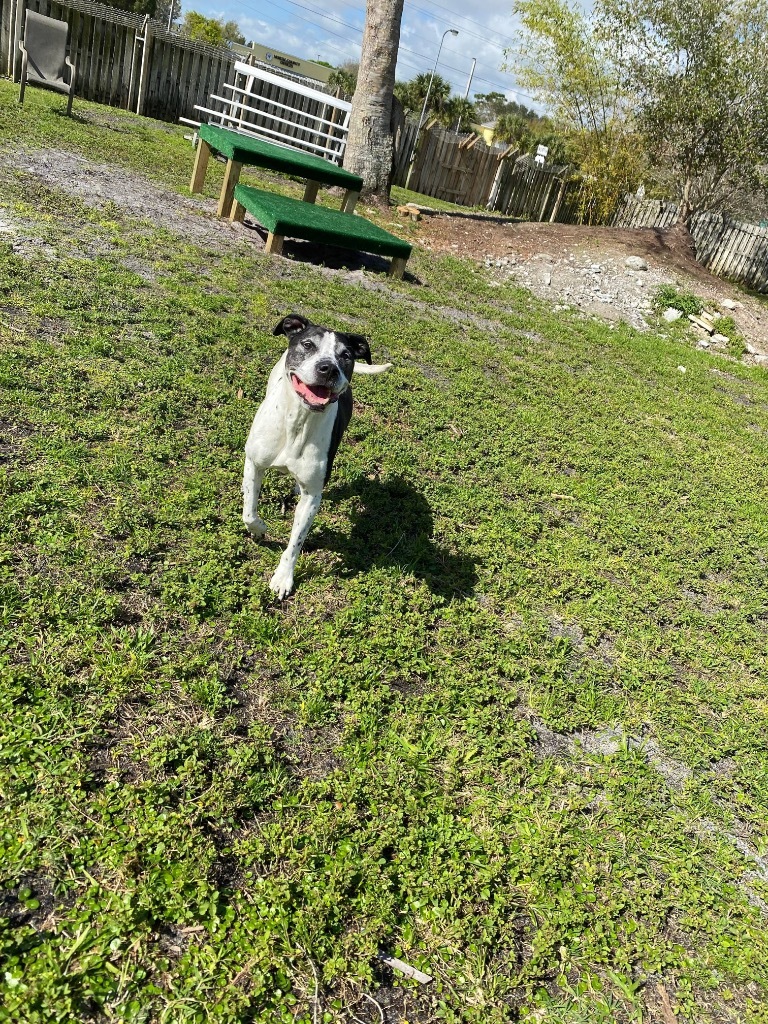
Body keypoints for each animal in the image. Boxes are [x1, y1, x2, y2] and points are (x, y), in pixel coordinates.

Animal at [243, 315, 391, 598]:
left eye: (345, 355)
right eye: (308, 344)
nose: (328, 368)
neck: (299, 420)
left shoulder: (312, 496)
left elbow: (296, 542)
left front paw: (284, 576)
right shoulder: (253, 464)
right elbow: (249, 512)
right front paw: (260, 530)